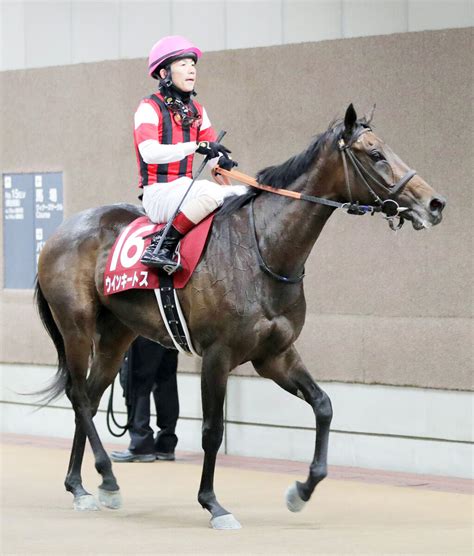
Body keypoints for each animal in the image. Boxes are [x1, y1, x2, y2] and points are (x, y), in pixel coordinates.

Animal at [35, 105, 446, 528]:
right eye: (375, 154)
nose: (434, 203)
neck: (263, 248)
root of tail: (58, 234)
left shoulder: (275, 355)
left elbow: (324, 405)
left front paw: (301, 491)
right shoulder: (217, 356)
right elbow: (212, 431)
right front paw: (213, 504)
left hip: (117, 335)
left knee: (90, 397)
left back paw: (82, 485)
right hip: (77, 327)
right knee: (79, 396)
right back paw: (105, 478)